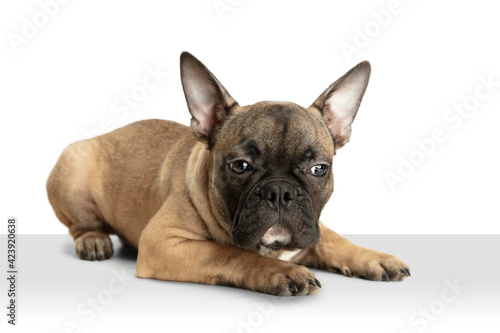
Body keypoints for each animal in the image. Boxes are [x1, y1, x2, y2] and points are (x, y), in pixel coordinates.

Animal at [46, 52, 410, 296]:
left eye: (318, 169)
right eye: (240, 166)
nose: (281, 191)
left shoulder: (312, 228)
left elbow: (332, 239)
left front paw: (372, 257)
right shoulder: (161, 242)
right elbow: (228, 252)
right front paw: (281, 271)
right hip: (73, 165)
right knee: (80, 224)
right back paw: (93, 239)